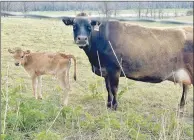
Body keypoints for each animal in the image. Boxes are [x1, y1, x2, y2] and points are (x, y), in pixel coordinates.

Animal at [62, 13, 192, 111]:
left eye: (89, 26)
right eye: (74, 25)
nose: (82, 39)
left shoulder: (114, 69)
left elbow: (114, 89)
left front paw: (114, 106)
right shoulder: (106, 71)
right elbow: (108, 88)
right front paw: (108, 105)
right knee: (186, 89)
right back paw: (181, 108)